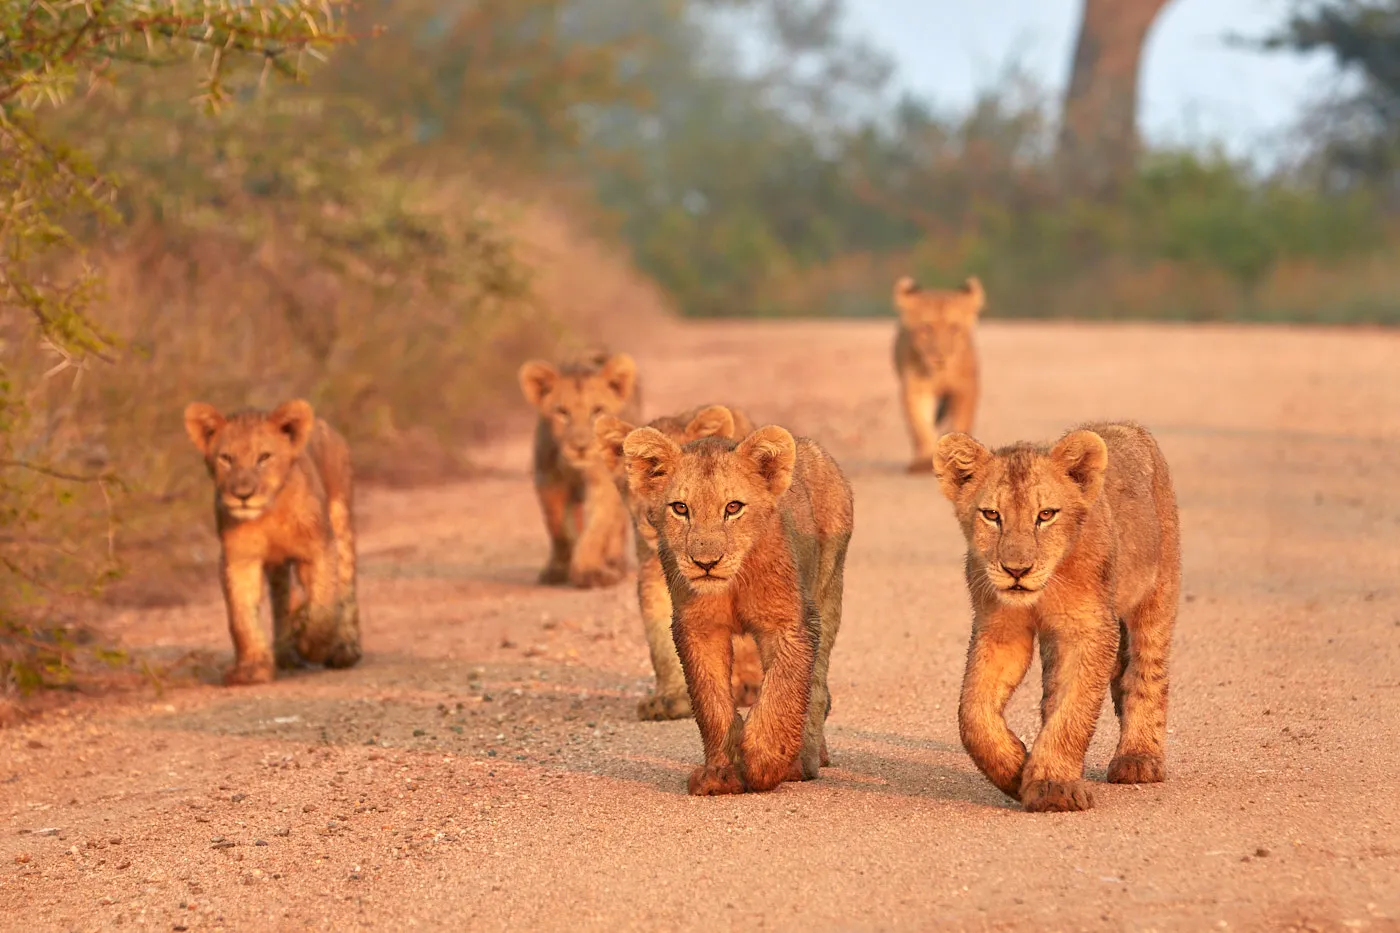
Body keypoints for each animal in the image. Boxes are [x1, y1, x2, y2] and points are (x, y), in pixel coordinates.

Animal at [183, 399, 362, 686]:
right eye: (226, 458)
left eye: (264, 457)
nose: (243, 495)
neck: (269, 514)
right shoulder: (239, 559)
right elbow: (242, 616)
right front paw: (253, 668)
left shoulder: (319, 549)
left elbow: (323, 606)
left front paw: (312, 646)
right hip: (278, 568)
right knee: (282, 599)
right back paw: (286, 650)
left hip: (340, 519)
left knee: (345, 587)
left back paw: (345, 649)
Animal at [517, 351, 642, 588]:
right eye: (562, 412)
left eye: (597, 411)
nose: (580, 447)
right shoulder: (548, 480)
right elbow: (557, 526)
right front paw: (559, 568)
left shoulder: (603, 482)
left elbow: (596, 528)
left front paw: (589, 571)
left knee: (617, 522)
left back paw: (615, 561)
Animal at [622, 415, 854, 795]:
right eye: (680, 508)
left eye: (733, 507)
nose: (706, 562)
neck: (733, 584)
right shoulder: (697, 628)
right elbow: (711, 702)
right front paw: (720, 774)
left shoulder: (790, 622)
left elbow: (782, 691)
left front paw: (763, 762)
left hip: (828, 589)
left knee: (817, 686)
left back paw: (805, 760)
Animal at [893, 275, 984, 473]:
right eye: (926, 328)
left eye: (954, 328)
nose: (940, 358)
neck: (939, 375)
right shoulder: (915, 390)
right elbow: (920, 427)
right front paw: (923, 462)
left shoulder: (964, 388)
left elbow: (961, 421)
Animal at [933, 421, 1180, 812]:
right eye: (992, 515)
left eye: (1046, 515)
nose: (1016, 570)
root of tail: (1127, 425)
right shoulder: (999, 628)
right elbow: (972, 713)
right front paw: (1015, 769)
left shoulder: (1091, 629)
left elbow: (1074, 711)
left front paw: (1053, 785)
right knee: (1053, 691)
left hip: (1157, 594)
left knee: (1147, 672)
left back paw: (1139, 758)